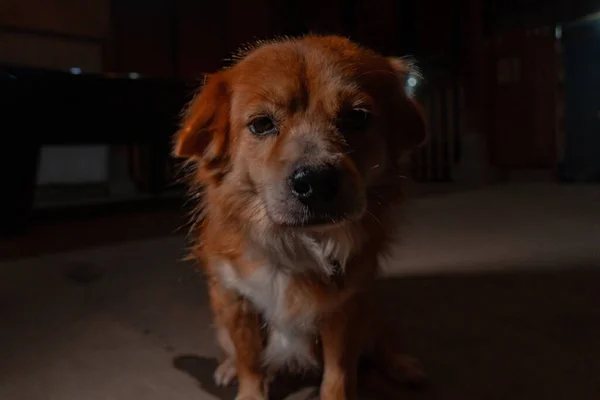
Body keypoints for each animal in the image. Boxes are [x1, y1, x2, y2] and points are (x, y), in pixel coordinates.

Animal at [172, 35, 426, 400]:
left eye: (358, 117)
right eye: (262, 124)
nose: (316, 182)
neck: (293, 242)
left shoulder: (347, 305)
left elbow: (339, 371)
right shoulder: (236, 300)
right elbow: (249, 358)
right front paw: (250, 390)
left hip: (371, 310)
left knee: (381, 343)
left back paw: (402, 365)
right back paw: (227, 367)